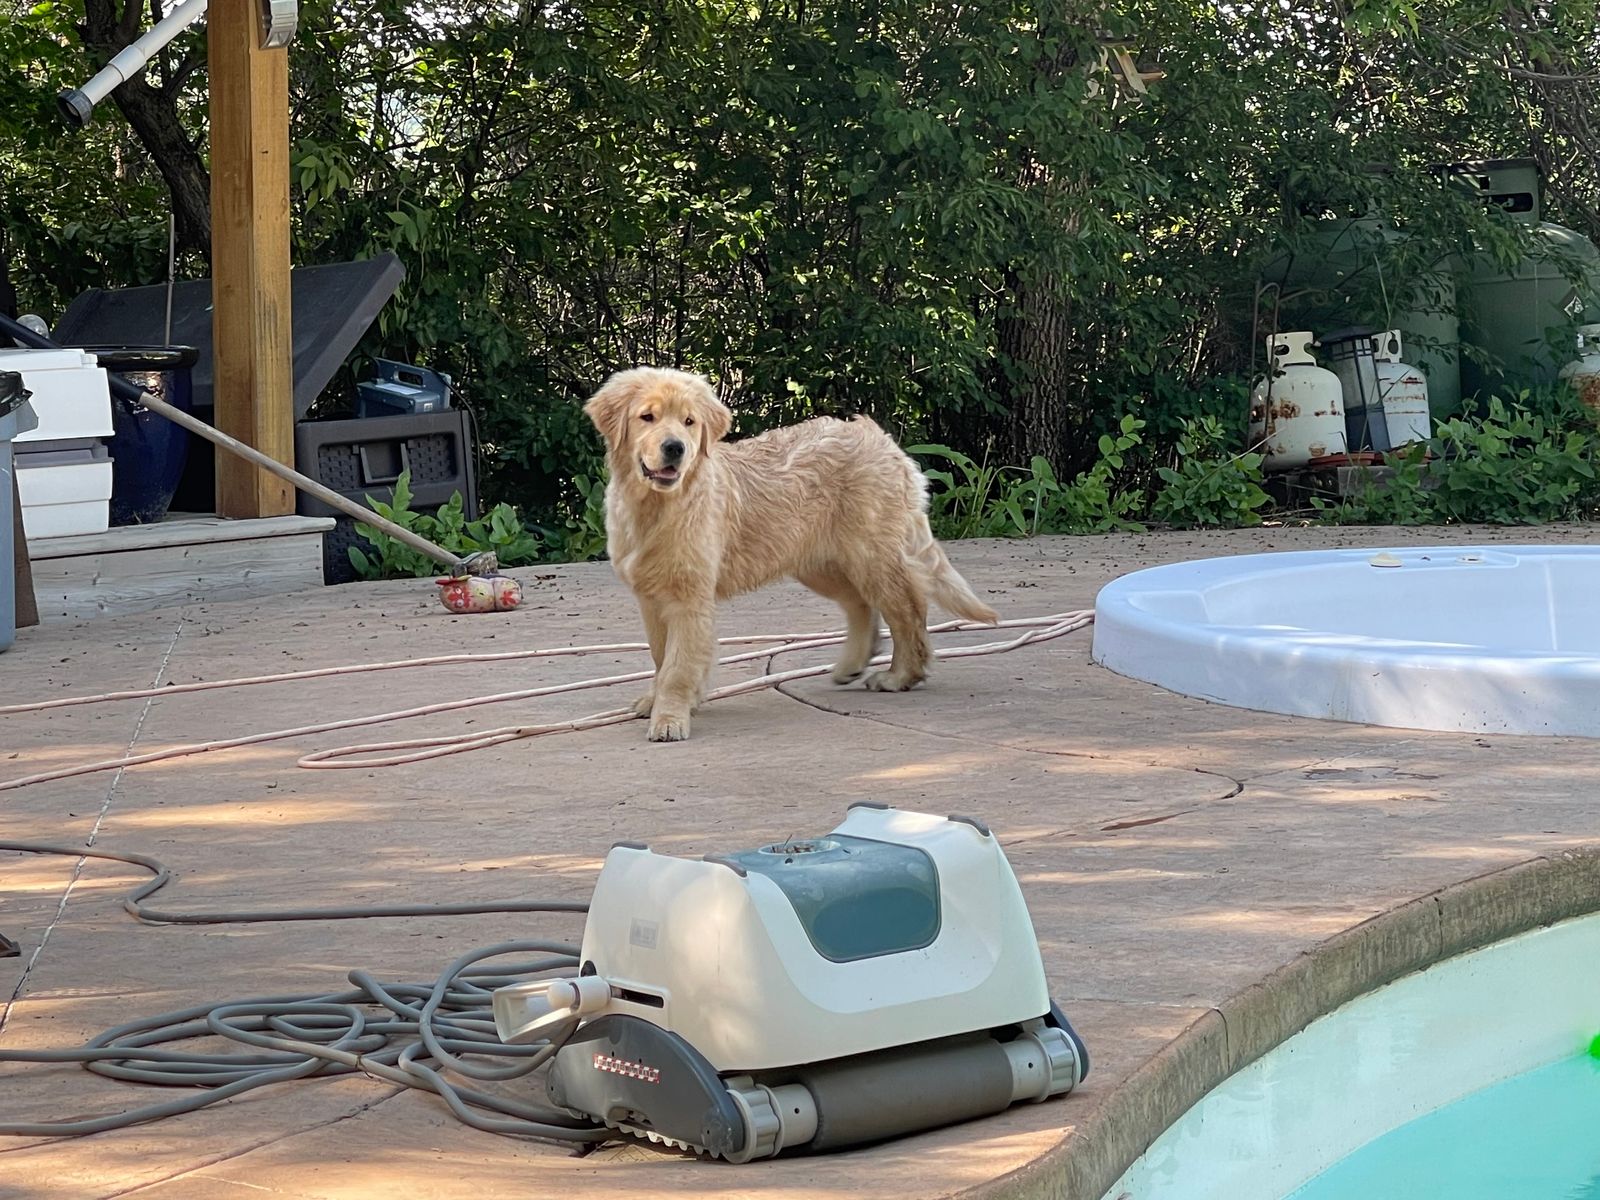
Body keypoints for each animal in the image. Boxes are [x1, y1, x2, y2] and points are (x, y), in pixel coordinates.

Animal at [583, 367, 999, 742]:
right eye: (647, 417)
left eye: (689, 422)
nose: (675, 447)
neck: (656, 506)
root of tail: (880, 438)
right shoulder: (651, 598)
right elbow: (660, 657)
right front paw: (661, 702)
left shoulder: (688, 598)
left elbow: (676, 666)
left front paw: (670, 718)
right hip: (820, 562)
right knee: (861, 604)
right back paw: (853, 664)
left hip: (870, 555)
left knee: (908, 610)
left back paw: (899, 676)